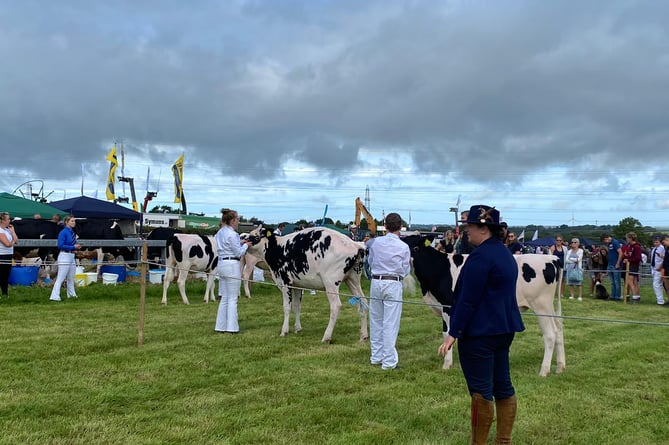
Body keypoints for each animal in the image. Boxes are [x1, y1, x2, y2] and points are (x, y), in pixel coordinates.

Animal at [402, 234, 564, 376]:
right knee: (559, 330)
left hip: (541, 305)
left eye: (414, 247)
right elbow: (446, 333)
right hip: (551, 306)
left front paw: (446, 364)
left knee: (550, 334)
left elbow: (448, 333)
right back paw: (560, 367)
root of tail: (552, 258)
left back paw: (544, 371)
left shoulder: (448, 306)